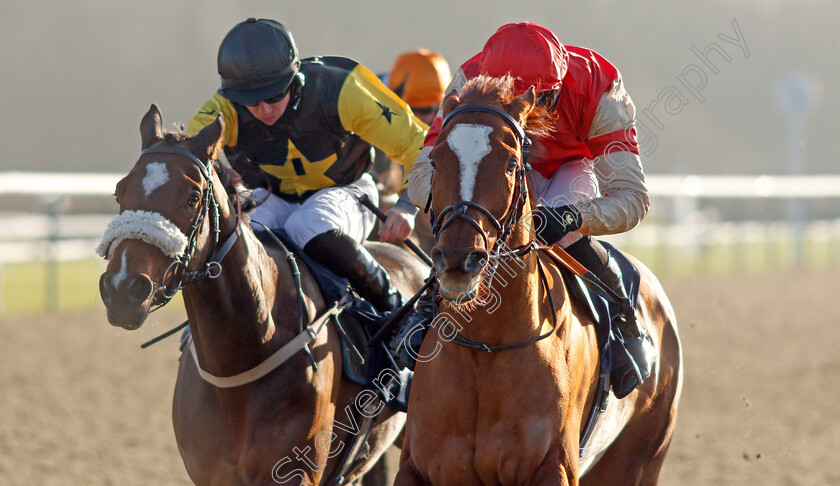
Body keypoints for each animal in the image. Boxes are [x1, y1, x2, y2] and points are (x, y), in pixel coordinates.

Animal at [396, 74, 684, 484]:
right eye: (436, 160)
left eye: (512, 163)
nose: (457, 259)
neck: (487, 344)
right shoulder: (417, 467)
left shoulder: (554, 468)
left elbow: (629, 193)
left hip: (639, 458)